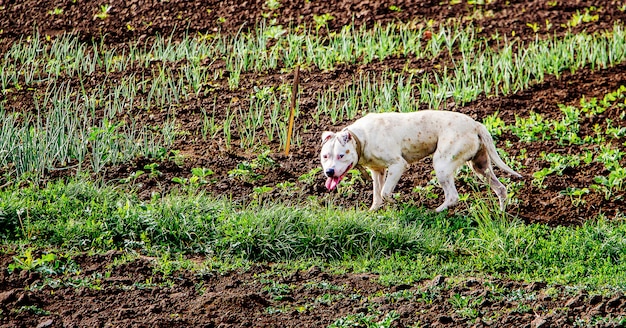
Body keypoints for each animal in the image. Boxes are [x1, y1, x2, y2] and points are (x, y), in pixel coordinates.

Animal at [320, 111, 520, 213]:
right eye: (325, 157)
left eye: (341, 155)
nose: (329, 172)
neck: (361, 138)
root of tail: (475, 124)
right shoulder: (377, 171)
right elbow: (377, 194)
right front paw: (373, 212)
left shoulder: (397, 165)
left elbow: (385, 192)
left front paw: (396, 204)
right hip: (480, 166)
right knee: (501, 189)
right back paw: (501, 213)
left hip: (441, 164)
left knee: (452, 196)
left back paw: (435, 212)